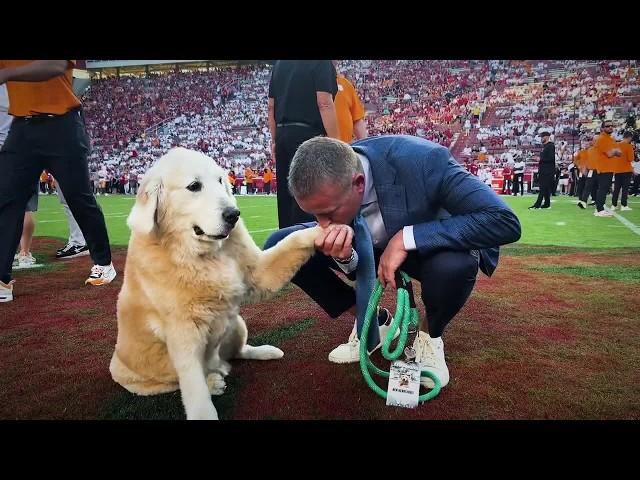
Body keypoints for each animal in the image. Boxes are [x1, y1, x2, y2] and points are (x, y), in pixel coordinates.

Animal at [109, 148, 324, 418]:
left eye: (221, 180)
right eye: (194, 186)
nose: (234, 214)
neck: (203, 255)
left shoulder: (259, 273)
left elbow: (294, 240)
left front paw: (327, 230)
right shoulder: (183, 334)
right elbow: (194, 388)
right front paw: (205, 407)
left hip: (236, 324)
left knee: (237, 353)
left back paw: (263, 352)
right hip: (149, 378)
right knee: (186, 379)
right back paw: (214, 381)